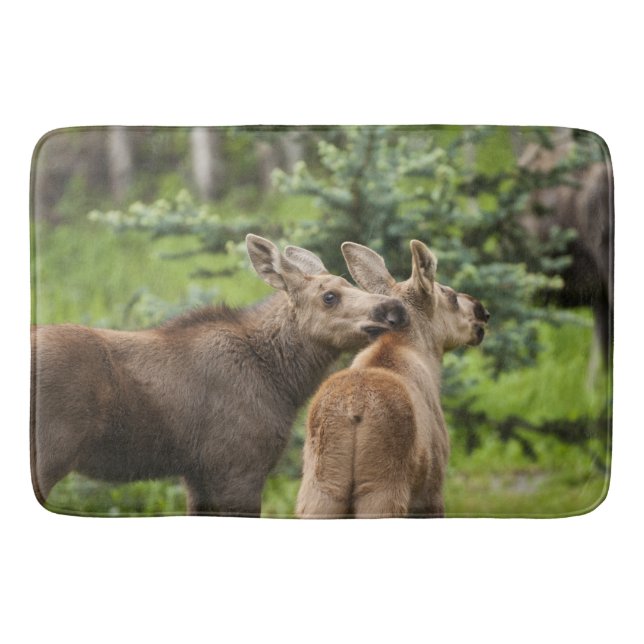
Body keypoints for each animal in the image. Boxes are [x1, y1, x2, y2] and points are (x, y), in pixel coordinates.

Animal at [30, 234, 409, 517]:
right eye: (330, 296)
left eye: (348, 282)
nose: (394, 309)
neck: (284, 381)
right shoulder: (238, 466)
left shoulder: (199, 474)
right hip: (50, 452)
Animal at [296, 240, 489, 518]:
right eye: (451, 297)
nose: (482, 310)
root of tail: (353, 409)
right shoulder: (432, 488)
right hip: (383, 487)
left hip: (322, 489)